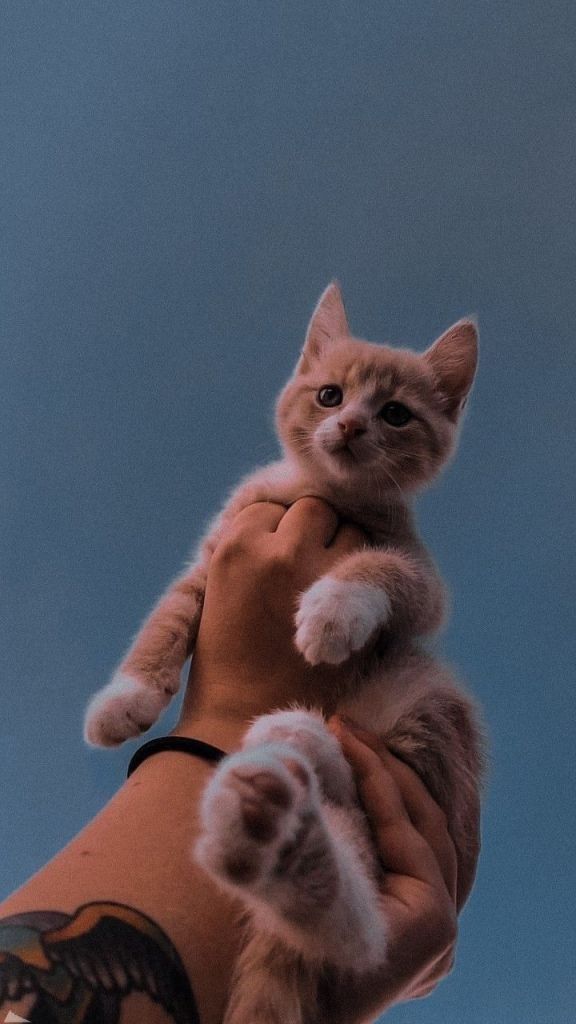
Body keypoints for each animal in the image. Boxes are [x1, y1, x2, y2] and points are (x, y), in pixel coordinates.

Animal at [83, 284, 481, 1024]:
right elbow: (169, 616)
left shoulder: (423, 582)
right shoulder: (218, 547)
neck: (323, 494)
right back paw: (283, 813)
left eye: (395, 413)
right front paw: (127, 697)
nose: (350, 426)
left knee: (364, 931)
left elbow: (381, 569)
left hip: (425, 699)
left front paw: (331, 612)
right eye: (329, 395)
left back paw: (293, 792)